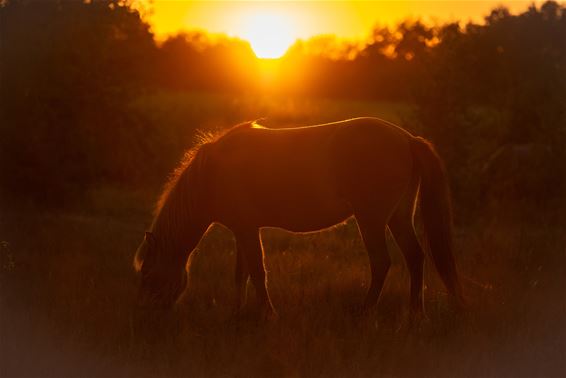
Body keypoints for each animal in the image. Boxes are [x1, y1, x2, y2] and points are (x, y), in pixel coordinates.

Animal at [133, 116, 466, 320]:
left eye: (148, 276)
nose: (148, 317)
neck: (213, 173)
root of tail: (407, 138)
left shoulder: (247, 230)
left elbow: (257, 272)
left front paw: (269, 315)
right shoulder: (242, 230)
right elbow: (242, 274)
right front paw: (238, 313)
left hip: (371, 219)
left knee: (382, 263)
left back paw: (364, 312)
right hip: (397, 217)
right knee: (415, 258)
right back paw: (415, 315)